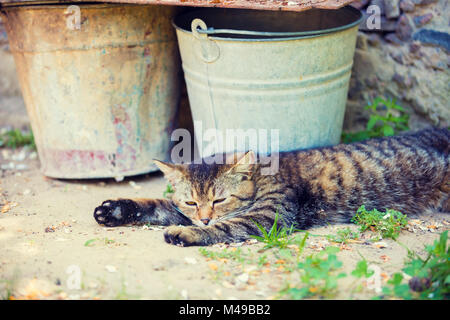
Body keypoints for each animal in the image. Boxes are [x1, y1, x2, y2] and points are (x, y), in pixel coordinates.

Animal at [93, 127, 448, 245]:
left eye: (219, 200)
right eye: (192, 202)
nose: (204, 218)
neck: (262, 176)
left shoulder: (268, 215)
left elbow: (225, 226)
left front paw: (187, 233)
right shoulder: (180, 209)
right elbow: (156, 205)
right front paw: (115, 209)